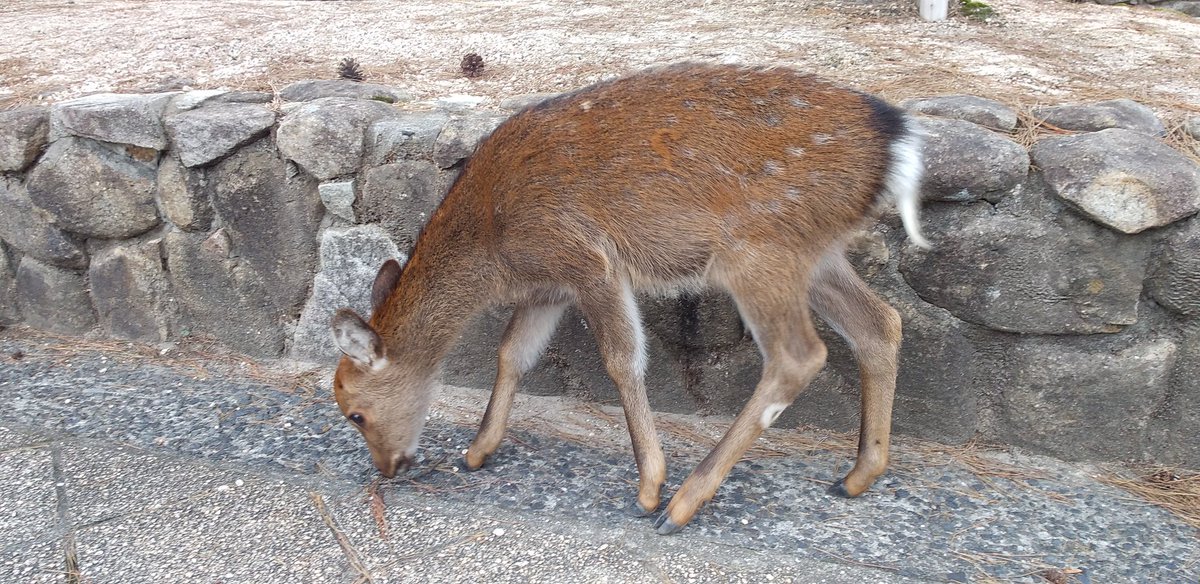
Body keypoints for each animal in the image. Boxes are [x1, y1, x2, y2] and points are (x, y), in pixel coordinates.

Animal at [330, 62, 928, 534]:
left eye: (355, 413)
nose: (388, 468)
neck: (494, 249)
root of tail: (899, 142)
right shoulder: (550, 285)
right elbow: (513, 351)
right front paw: (478, 451)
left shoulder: (587, 260)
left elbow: (621, 359)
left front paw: (648, 487)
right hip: (817, 252)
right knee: (882, 323)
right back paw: (857, 475)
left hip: (758, 249)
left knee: (799, 355)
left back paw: (682, 503)